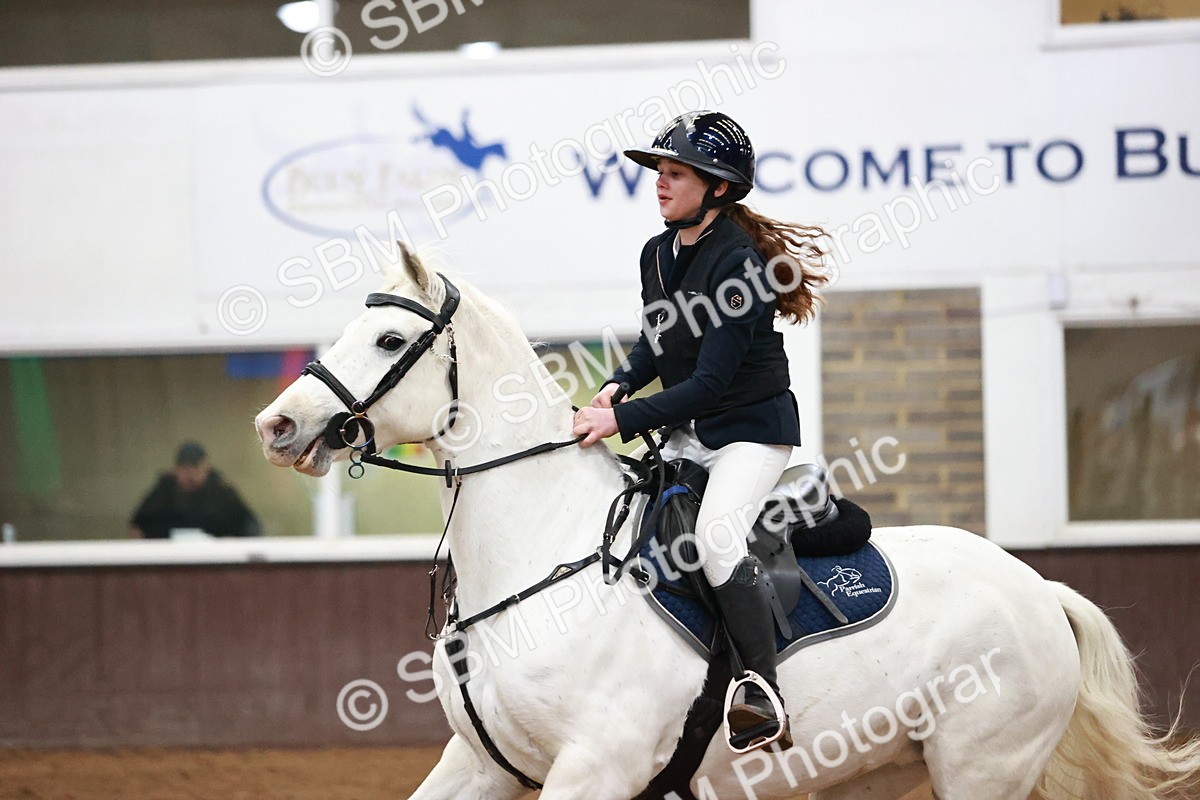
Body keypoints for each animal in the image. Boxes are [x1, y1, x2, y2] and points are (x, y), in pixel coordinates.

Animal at [254, 244, 1200, 800]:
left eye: (386, 343)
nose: (276, 426)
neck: (541, 559)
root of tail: (1039, 587)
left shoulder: (595, 768)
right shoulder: (480, 765)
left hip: (981, 769)